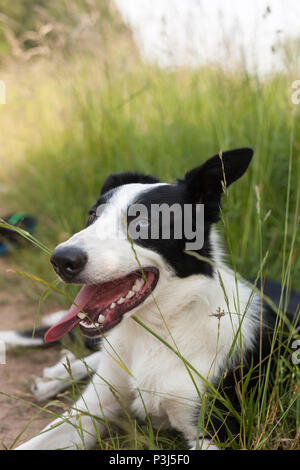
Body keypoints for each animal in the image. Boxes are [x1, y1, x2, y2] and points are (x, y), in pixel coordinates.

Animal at [1, 149, 298, 450]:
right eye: (92, 216)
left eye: (143, 224)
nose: (61, 260)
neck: (158, 329)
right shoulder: (89, 412)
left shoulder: (215, 431)